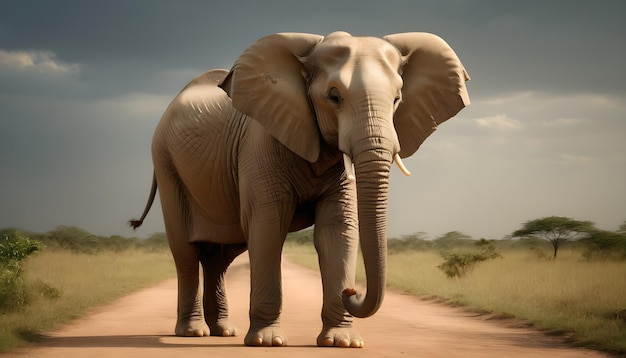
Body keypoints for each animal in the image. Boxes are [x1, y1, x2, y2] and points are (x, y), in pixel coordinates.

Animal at [129, 30, 466, 346]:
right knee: (185, 251)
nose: (351, 290)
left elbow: (335, 229)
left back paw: (223, 331)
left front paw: (342, 342)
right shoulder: (260, 143)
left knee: (220, 257)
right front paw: (268, 341)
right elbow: (268, 225)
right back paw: (193, 332)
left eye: (397, 99)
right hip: (166, 161)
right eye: (334, 97)